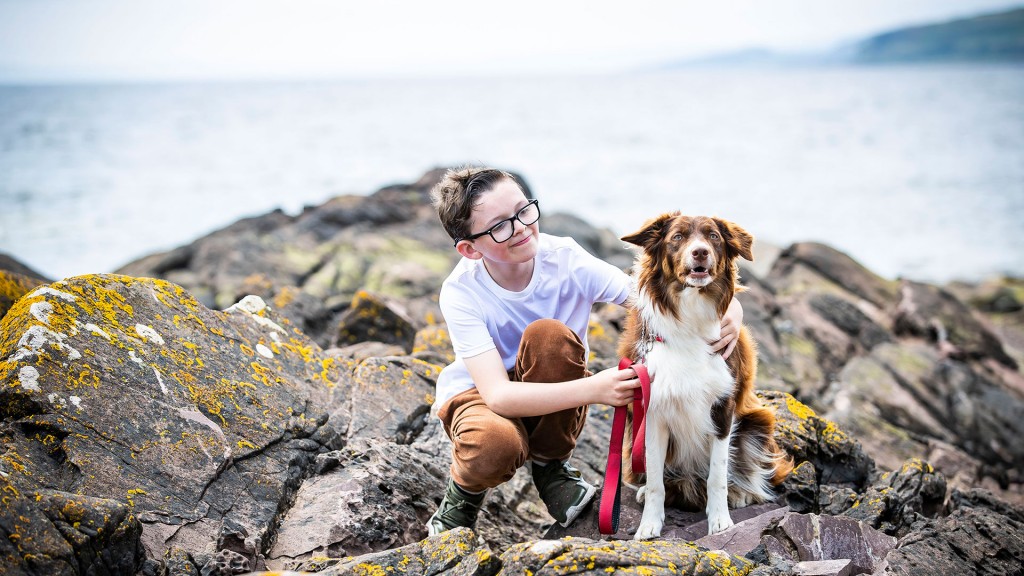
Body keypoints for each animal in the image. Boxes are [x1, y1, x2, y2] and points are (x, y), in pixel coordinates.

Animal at [614, 212, 790, 537]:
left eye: (713, 237)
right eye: (678, 237)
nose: (700, 252)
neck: (690, 320)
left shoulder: (723, 409)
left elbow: (717, 475)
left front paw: (720, 521)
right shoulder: (652, 411)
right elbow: (656, 480)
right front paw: (649, 523)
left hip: (756, 422)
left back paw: (742, 492)